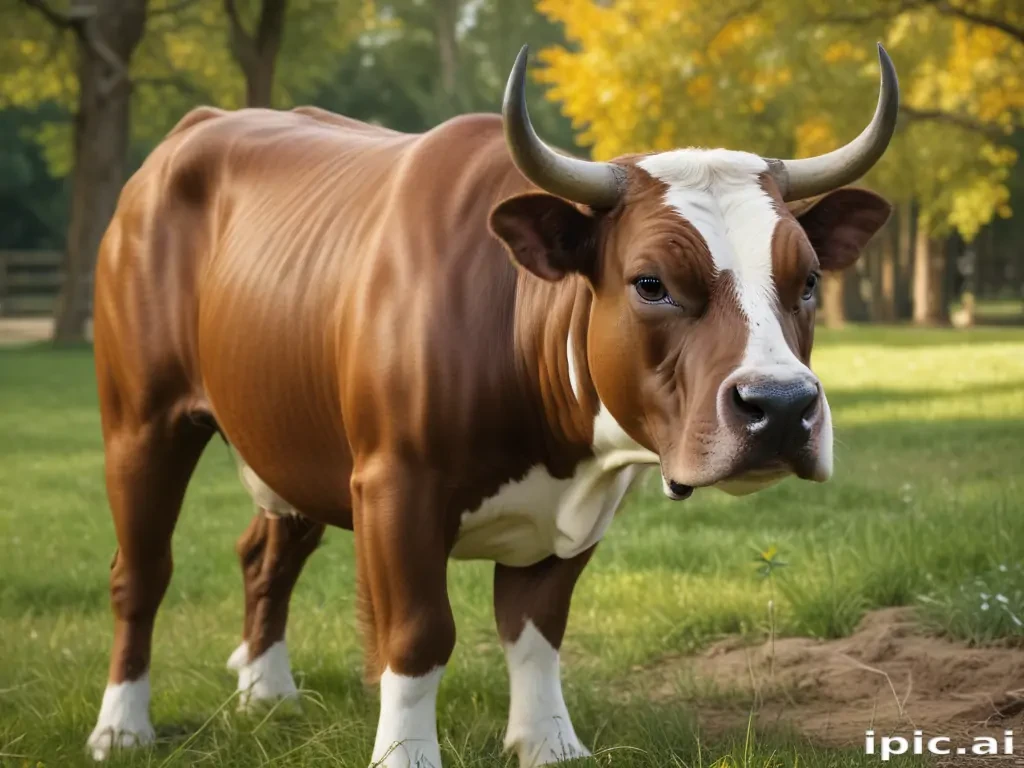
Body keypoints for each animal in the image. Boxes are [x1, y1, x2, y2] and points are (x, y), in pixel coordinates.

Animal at [86, 44, 897, 766]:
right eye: (651, 282)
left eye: (808, 279)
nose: (782, 406)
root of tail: (196, 130)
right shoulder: (394, 485)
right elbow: (418, 634)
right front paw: (407, 755)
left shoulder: (580, 510)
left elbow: (535, 627)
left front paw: (549, 744)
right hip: (141, 422)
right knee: (140, 572)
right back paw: (122, 726)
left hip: (289, 437)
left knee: (265, 555)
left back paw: (266, 693)